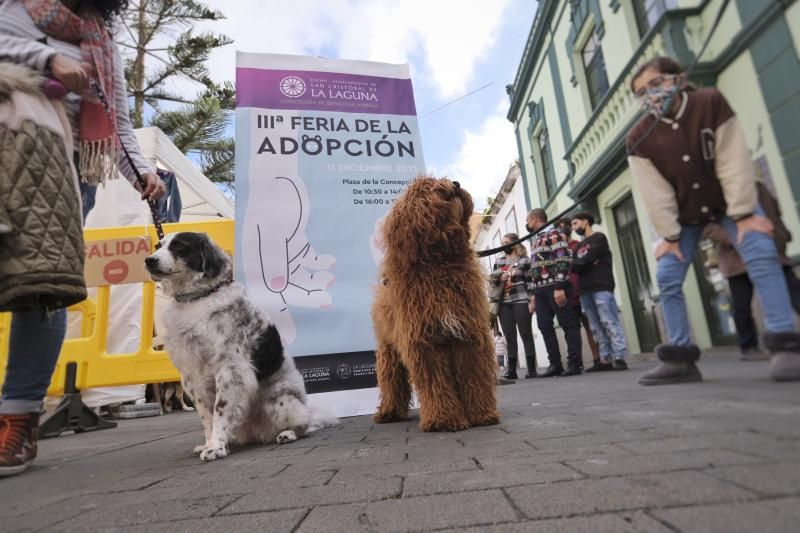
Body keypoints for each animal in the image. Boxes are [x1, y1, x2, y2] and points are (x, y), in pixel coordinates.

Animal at [144, 233, 334, 462]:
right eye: (158, 246)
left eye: (179, 247)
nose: (149, 260)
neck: (198, 298)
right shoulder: (194, 377)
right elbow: (207, 416)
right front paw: (209, 443)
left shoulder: (229, 370)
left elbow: (220, 411)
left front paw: (216, 447)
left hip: (281, 403)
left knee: (303, 425)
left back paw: (287, 433)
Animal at [370, 177, 496, 430]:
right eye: (428, 188)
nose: (455, 184)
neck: (440, 265)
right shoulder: (426, 343)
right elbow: (436, 383)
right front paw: (444, 419)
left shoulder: (468, 336)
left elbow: (474, 377)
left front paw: (482, 414)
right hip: (388, 351)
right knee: (391, 382)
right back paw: (389, 412)